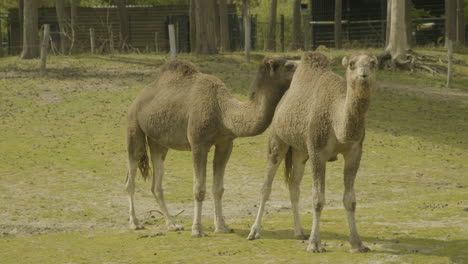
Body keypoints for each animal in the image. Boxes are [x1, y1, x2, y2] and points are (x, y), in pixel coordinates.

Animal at [126, 56, 298, 237]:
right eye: (289, 65)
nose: (301, 67)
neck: (223, 112)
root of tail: (139, 96)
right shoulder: (198, 143)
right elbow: (199, 189)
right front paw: (197, 229)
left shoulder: (225, 143)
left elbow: (218, 188)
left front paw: (222, 226)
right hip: (133, 125)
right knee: (131, 172)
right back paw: (135, 223)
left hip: (158, 142)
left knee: (156, 184)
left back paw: (172, 224)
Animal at [249, 52, 376, 254]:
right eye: (352, 64)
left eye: (373, 63)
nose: (363, 74)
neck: (337, 119)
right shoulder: (317, 152)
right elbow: (318, 199)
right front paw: (315, 244)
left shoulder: (355, 152)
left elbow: (350, 200)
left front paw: (357, 244)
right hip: (278, 139)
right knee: (266, 186)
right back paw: (254, 232)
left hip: (301, 151)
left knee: (294, 186)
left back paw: (300, 232)